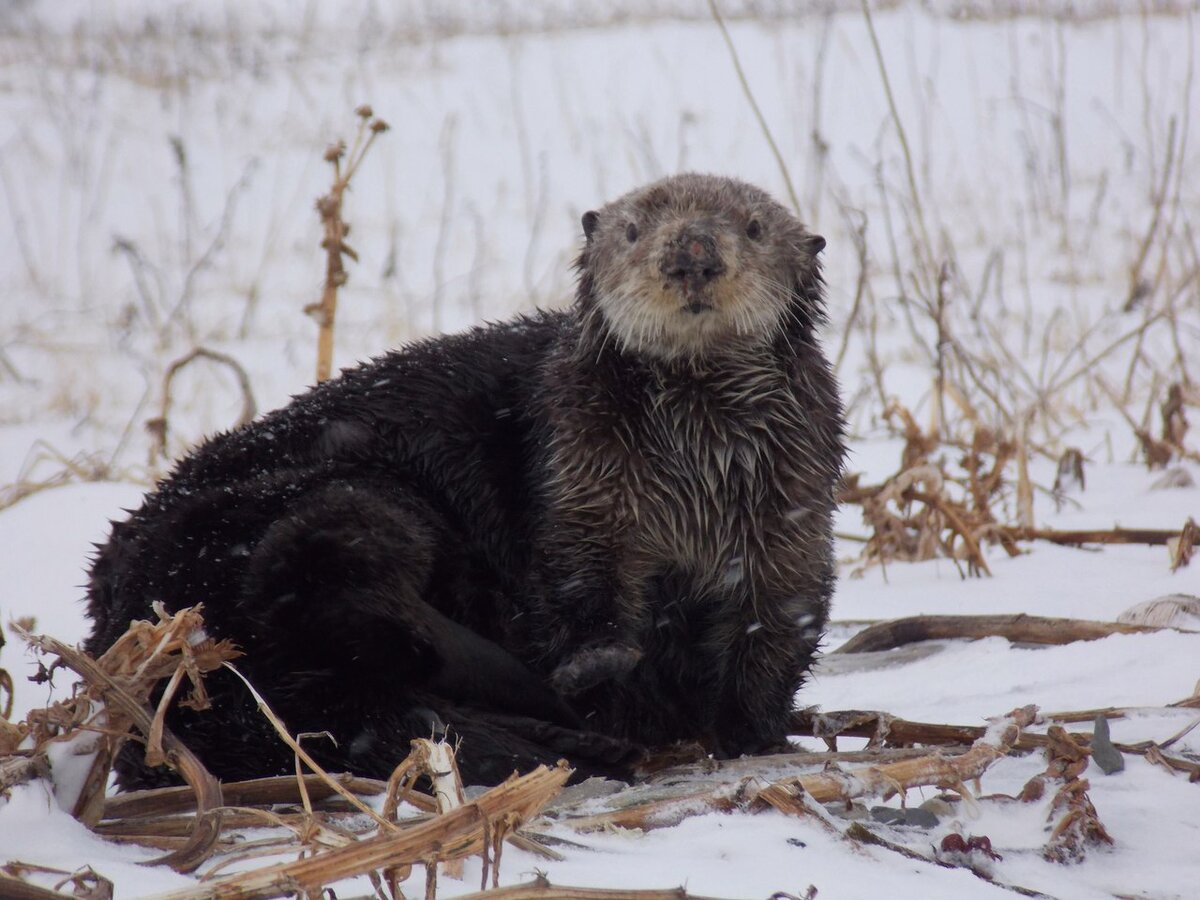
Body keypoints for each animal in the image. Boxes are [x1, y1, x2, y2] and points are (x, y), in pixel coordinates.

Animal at [84, 172, 849, 787]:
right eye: (634, 230)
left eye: (752, 228)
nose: (692, 253)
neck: (694, 472)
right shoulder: (580, 479)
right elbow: (576, 583)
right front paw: (600, 660)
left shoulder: (793, 505)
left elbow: (782, 615)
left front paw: (752, 731)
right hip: (335, 505)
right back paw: (564, 705)